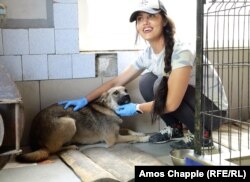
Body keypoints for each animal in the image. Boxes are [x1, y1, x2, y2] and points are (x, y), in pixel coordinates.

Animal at [16, 86, 149, 163]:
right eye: (115, 93)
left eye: (126, 90)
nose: (127, 96)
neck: (109, 108)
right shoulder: (114, 139)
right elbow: (131, 136)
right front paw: (145, 138)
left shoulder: (118, 131)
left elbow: (128, 129)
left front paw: (141, 133)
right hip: (70, 122)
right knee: (52, 150)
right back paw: (71, 146)